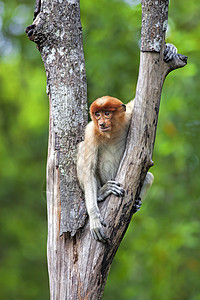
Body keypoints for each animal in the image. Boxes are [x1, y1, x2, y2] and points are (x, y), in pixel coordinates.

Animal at [76, 43, 177, 243]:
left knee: (149, 176)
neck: (112, 133)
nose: (102, 123)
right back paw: (102, 192)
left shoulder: (130, 115)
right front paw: (95, 220)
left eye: (107, 113)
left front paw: (170, 50)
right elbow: (88, 169)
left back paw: (136, 202)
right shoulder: (91, 132)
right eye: (97, 114)